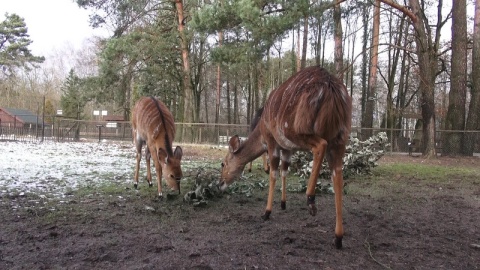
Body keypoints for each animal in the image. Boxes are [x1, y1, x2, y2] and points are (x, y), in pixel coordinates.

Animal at [219, 66, 350, 249]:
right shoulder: (288, 149)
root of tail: (332, 90)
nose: (220, 184)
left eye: (223, 163)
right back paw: (338, 237)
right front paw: (283, 203)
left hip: (298, 130)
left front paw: (266, 212)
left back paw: (310, 200)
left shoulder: (273, 142)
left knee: (320, 146)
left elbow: (273, 173)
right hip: (340, 137)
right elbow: (284, 170)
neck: (261, 130)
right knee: (337, 174)